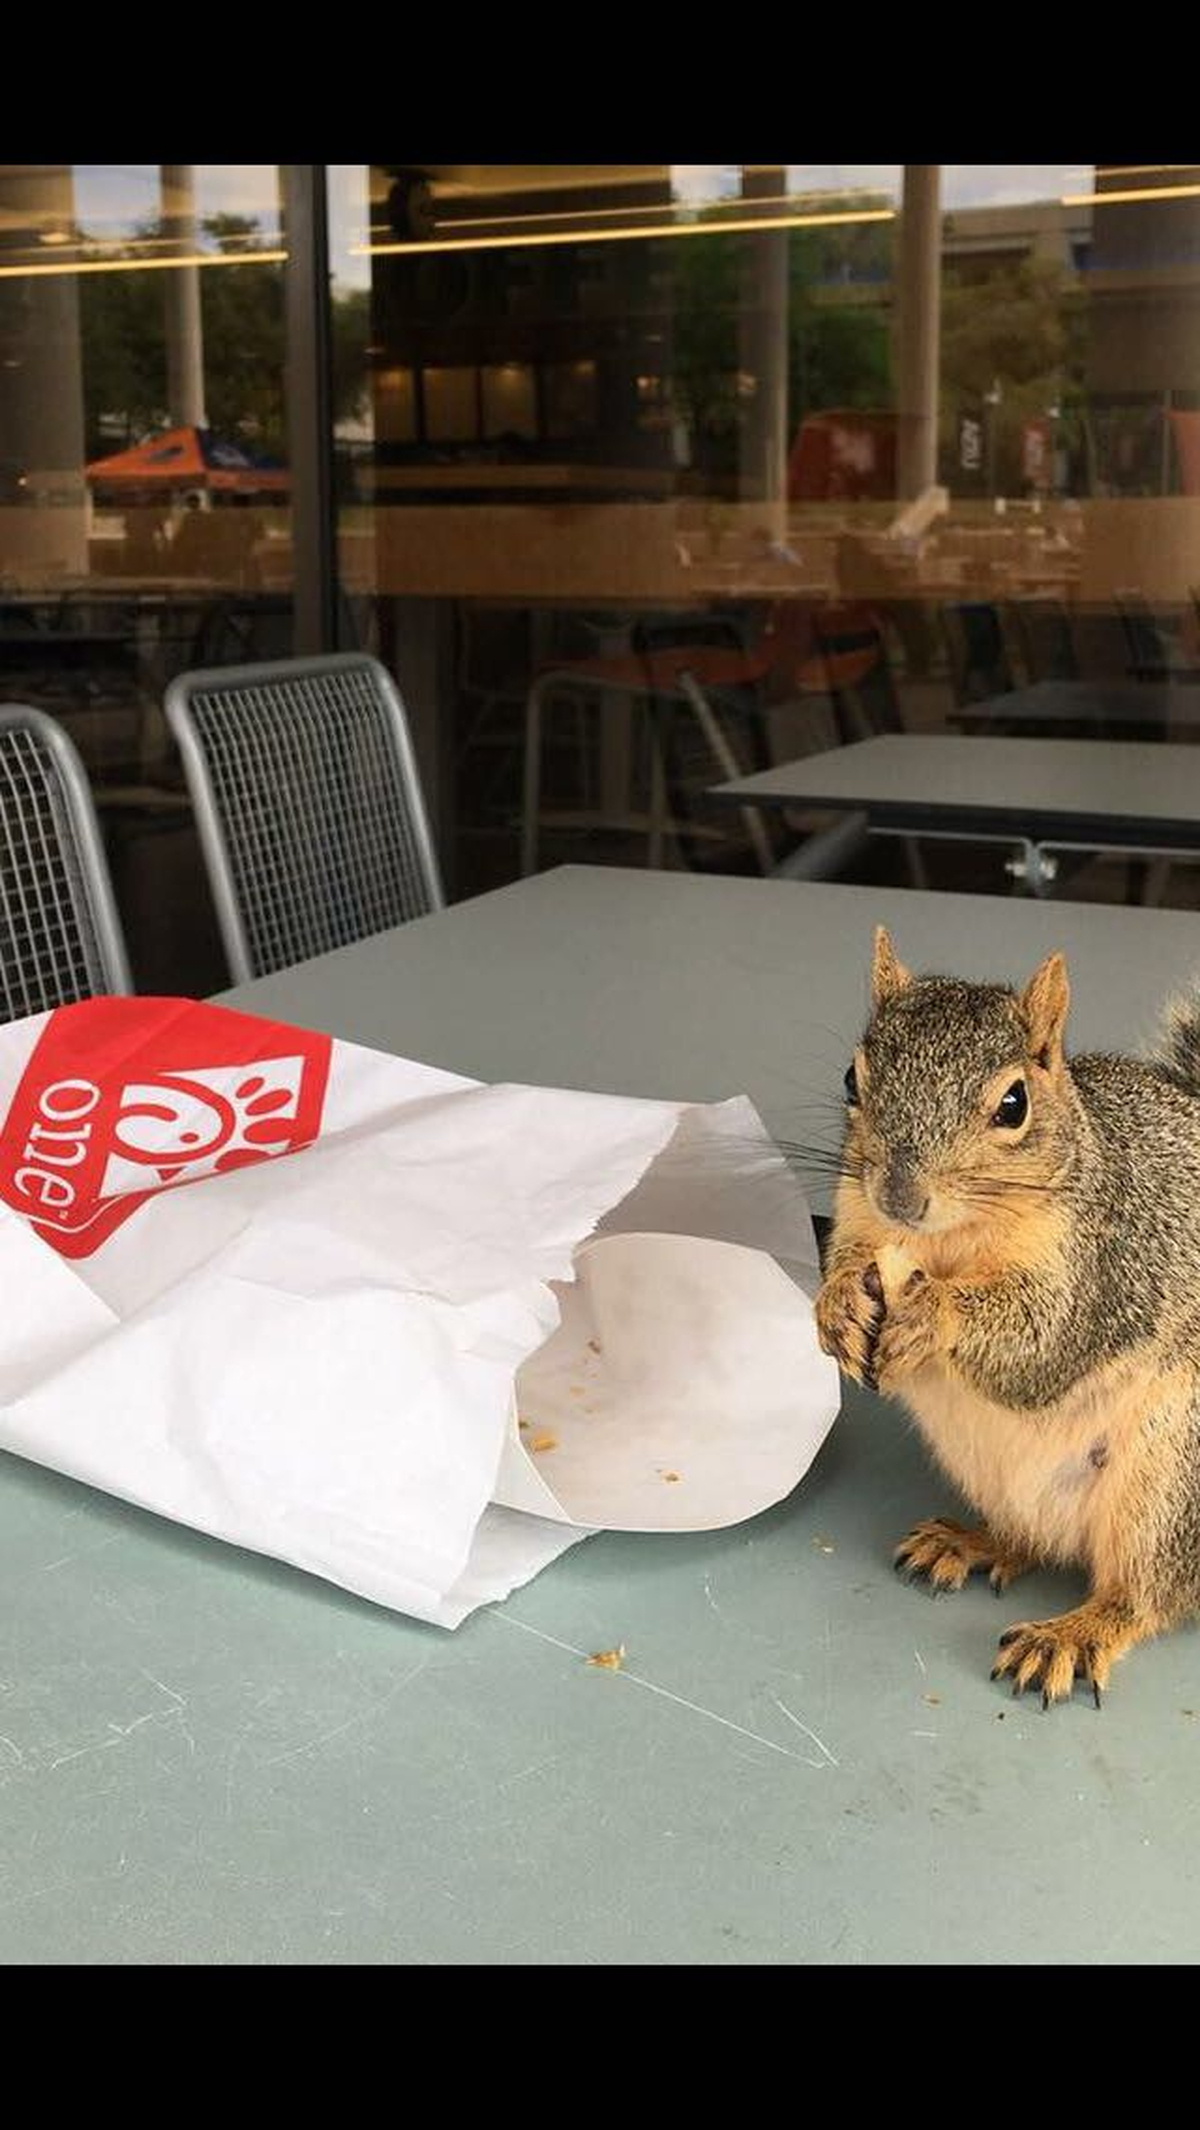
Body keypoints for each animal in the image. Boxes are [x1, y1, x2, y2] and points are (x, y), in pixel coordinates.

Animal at [818, 928, 1200, 1712]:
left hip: (1170, 1482)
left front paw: (931, 1313)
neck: (948, 1244)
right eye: (850, 1079)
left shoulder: (1105, 1267)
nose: (900, 1195)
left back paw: (1071, 1634)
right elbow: (845, 1263)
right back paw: (971, 1543)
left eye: (1014, 1104)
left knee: (1142, 1596)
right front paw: (835, 1308)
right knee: (1032, 1542)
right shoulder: (857, 1214)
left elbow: (1041, 1344)